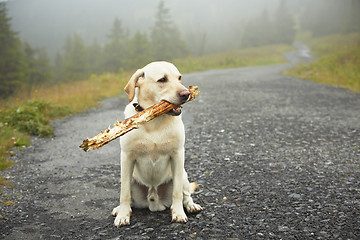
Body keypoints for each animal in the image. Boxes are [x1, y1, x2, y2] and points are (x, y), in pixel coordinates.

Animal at [112, 61, 202, 226]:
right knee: (130, 197)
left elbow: (177, 193)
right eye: (162, 80)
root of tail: (154, 201)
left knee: (186, 193)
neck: (154, 119)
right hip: (130, 177)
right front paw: (122, 215)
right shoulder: (127, 157)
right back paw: (119, 209)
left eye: (179, 77)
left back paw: (191, 205)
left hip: (183, 174)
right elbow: (124, 193)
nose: (186, 94)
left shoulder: (178, 155)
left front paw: (178, 213)